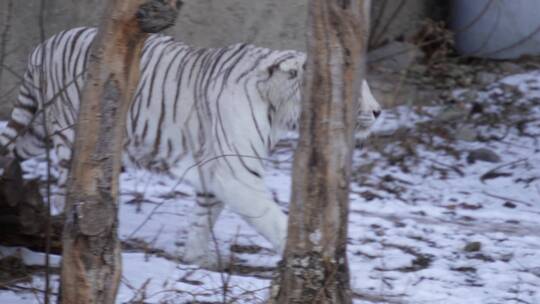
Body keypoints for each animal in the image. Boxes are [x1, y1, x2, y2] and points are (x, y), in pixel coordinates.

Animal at [0, 27, 382, 268]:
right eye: (353, 91)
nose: (379, 112)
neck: (278, 107)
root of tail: (43, 44)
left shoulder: (215, 170)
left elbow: (204, 216)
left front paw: (195, 258)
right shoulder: (237, 172)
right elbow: (271, 216)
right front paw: (300, 253)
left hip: (38, 130)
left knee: (14, 149)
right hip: (71, 134)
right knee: (69, 187)